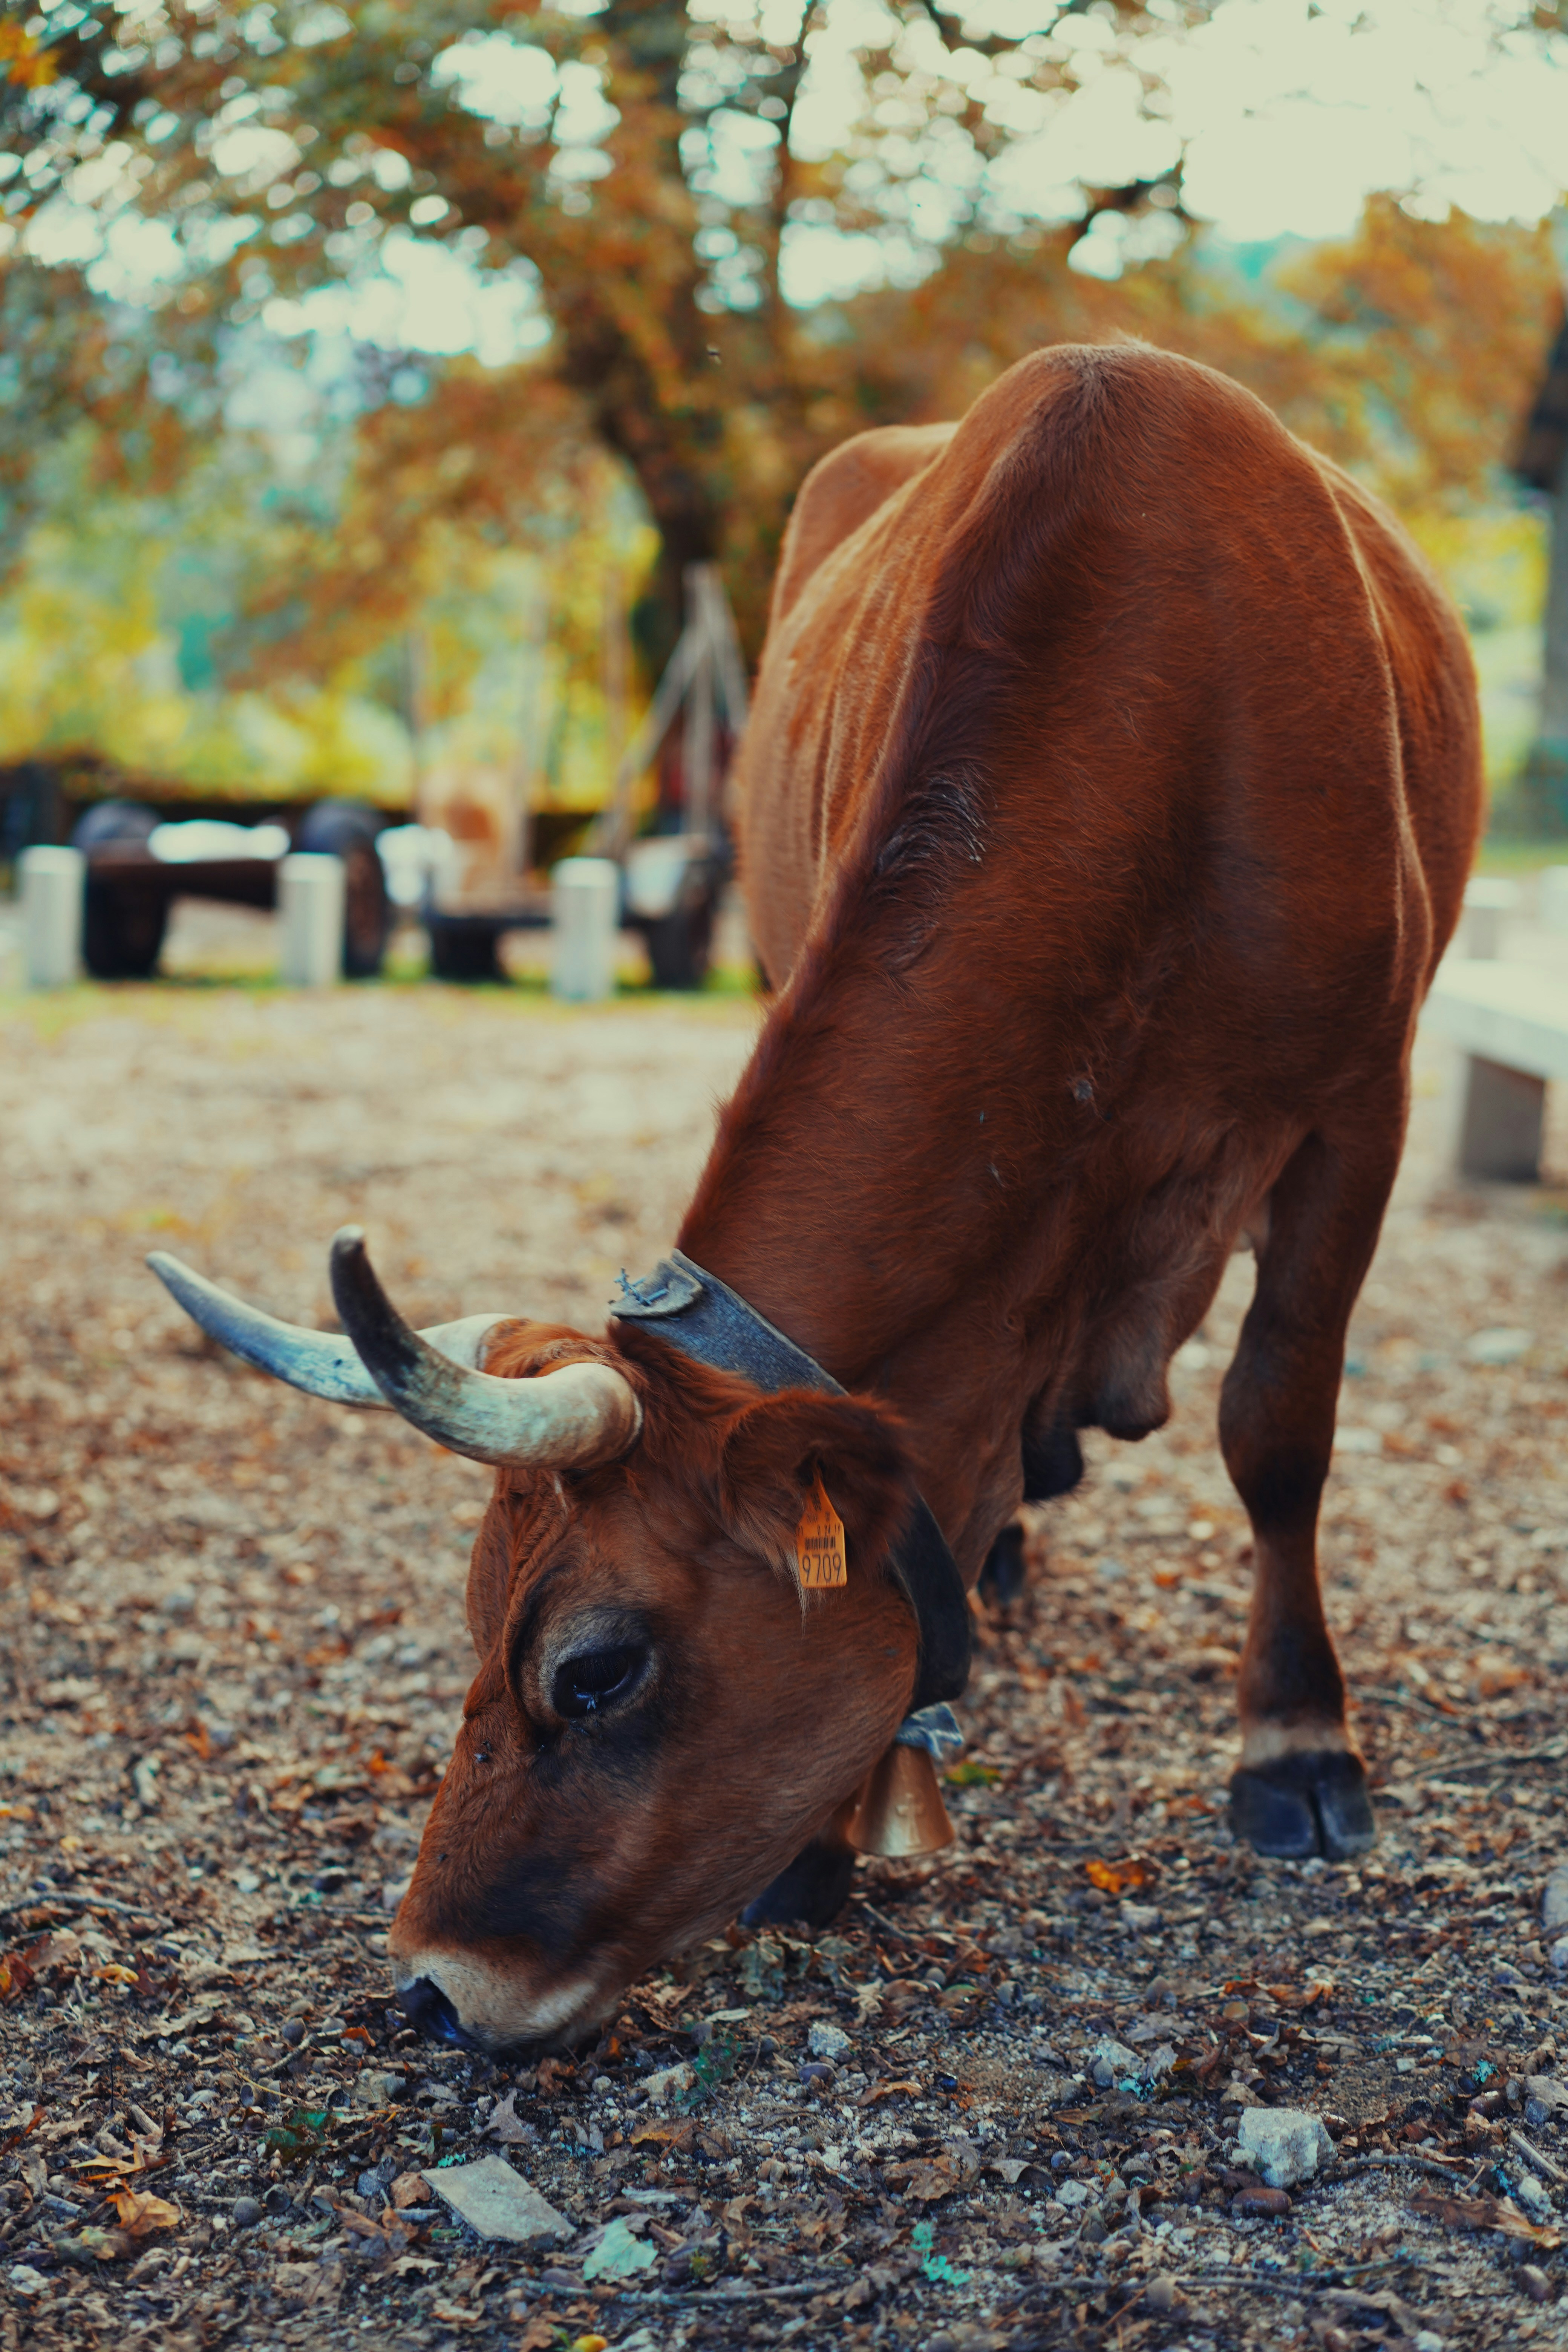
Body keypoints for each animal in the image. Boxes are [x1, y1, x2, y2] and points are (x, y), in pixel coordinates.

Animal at [150, 344, 1482, 2054]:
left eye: (595, 1669)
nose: (435, 1984)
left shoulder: (1355, 1109)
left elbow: (1277, 1427)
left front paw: (1296, 1746)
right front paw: (844, 1821)